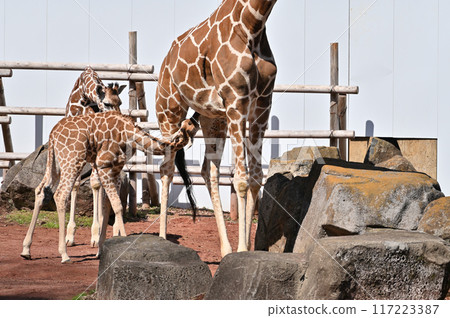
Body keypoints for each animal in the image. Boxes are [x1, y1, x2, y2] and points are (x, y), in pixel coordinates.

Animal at [21, 110, 197, 262]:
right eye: (190, 125)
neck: (128, 132)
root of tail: (52, 134)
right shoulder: (103, 166)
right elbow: (118, 205)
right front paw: (124, 242)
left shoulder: (115, 169)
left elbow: (107, 207)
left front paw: (101, 250)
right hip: (72, 161)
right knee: (61, 195)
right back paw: (64, 254)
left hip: (55, 163)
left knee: (40, 191)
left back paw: (26, 250)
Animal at [64, 66, 125, 247]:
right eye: (107, 103)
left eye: (120, 103)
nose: (119, 120)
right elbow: (76, 183)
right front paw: (69, 236)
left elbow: (95, 184)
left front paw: (96, 234)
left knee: (114, 182)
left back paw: (115, 230)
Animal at [156, 0, 276, 256]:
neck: (254, 24)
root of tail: (165, 62)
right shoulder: (237, 100)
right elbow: (241, 177)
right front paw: (243, 249)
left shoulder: (262, 102)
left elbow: (256, 176)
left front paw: (244, 250)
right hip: (169, 110)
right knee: (166, 169)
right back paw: (161, 239)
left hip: (213, 118)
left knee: (207, 170)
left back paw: (226, 249)